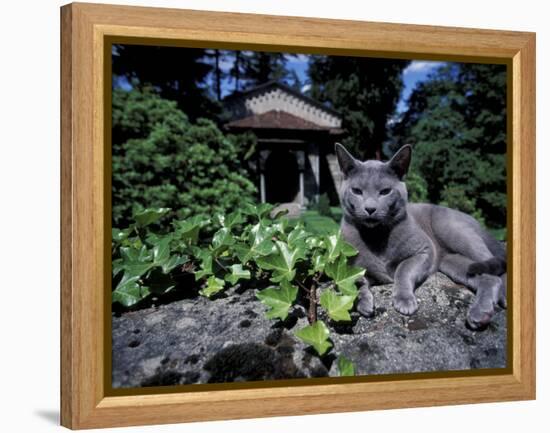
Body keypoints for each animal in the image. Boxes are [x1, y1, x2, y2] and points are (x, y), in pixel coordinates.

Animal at [338, 142, 512, 328]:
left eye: (385, 191)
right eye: (357, 191)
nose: (370, 209)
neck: (376, 237)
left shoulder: (424, 251)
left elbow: (403, 270)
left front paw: (404, 300)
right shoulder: (351, 268)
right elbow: (354, 283)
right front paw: (363, 303)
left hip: (454, 232)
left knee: (496, 268)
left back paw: (496, 302)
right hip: (451, 262)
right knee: (487, 277)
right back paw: (481, 314)